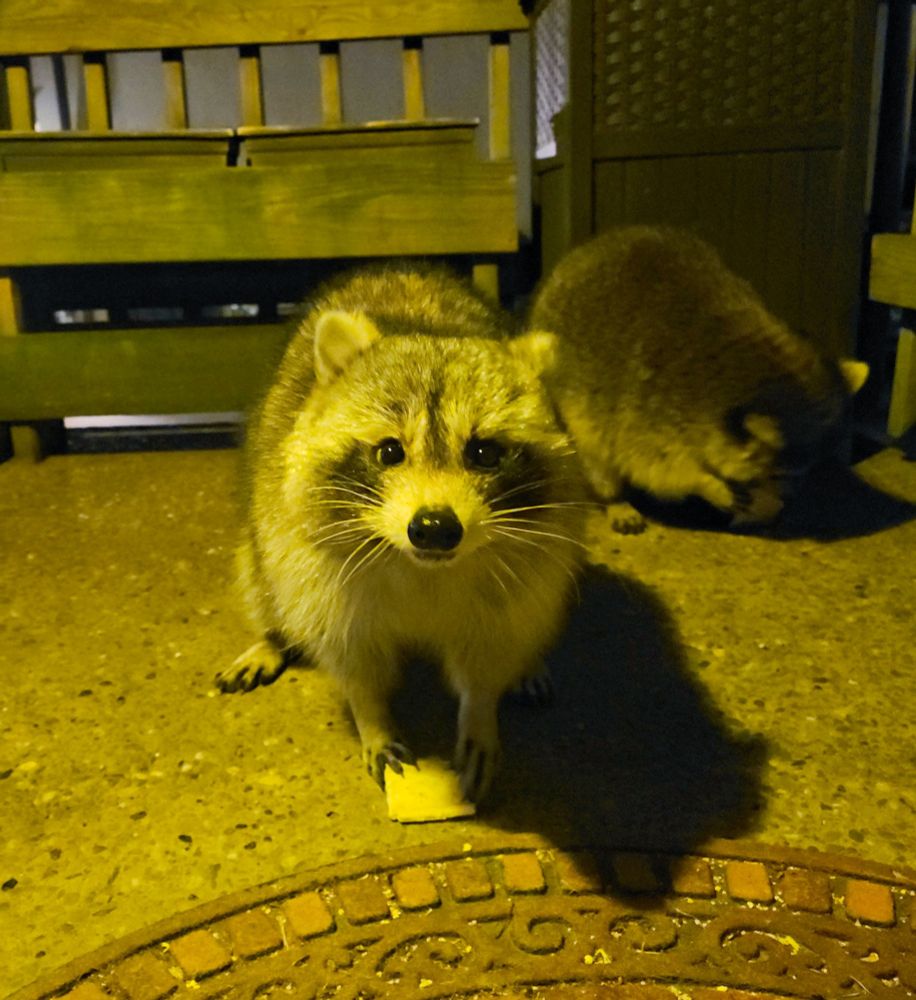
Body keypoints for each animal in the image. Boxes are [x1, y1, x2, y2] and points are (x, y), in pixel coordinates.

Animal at [217, 266, 585, 801]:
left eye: (484, 453)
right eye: (389, 452)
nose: (434, 529)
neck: (419, 565)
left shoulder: (529, 556)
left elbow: (490, 647)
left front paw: (480, 711)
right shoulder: (317, 571)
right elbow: (351, 657)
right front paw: (372, 717)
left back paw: (527, 661)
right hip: (266, 543)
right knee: (261, 580)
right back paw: (273, 635)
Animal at [528, 225, 869, 532]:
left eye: (807, 470)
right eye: (779, 475)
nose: (786, 505)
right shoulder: (644, 411)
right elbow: (656, 467)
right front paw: (705, 482)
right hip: (575, 409)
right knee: (595, 458)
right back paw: (614, 499)